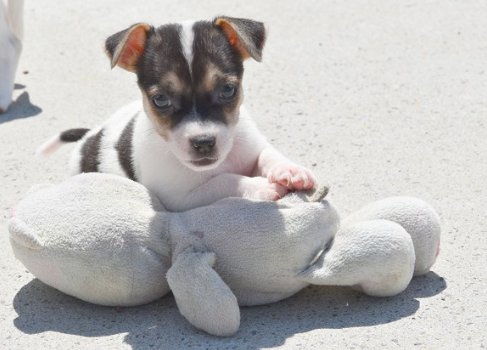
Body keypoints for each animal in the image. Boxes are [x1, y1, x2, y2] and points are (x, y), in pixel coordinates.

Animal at [40, 17, 318, 211]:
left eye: (228, 90)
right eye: (161, 100)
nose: (204, 142)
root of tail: (91, 134)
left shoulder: (251, 148)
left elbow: (268, 155)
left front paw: (289, 171)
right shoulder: (182, 198)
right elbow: (224, 182)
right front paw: (263, 186)